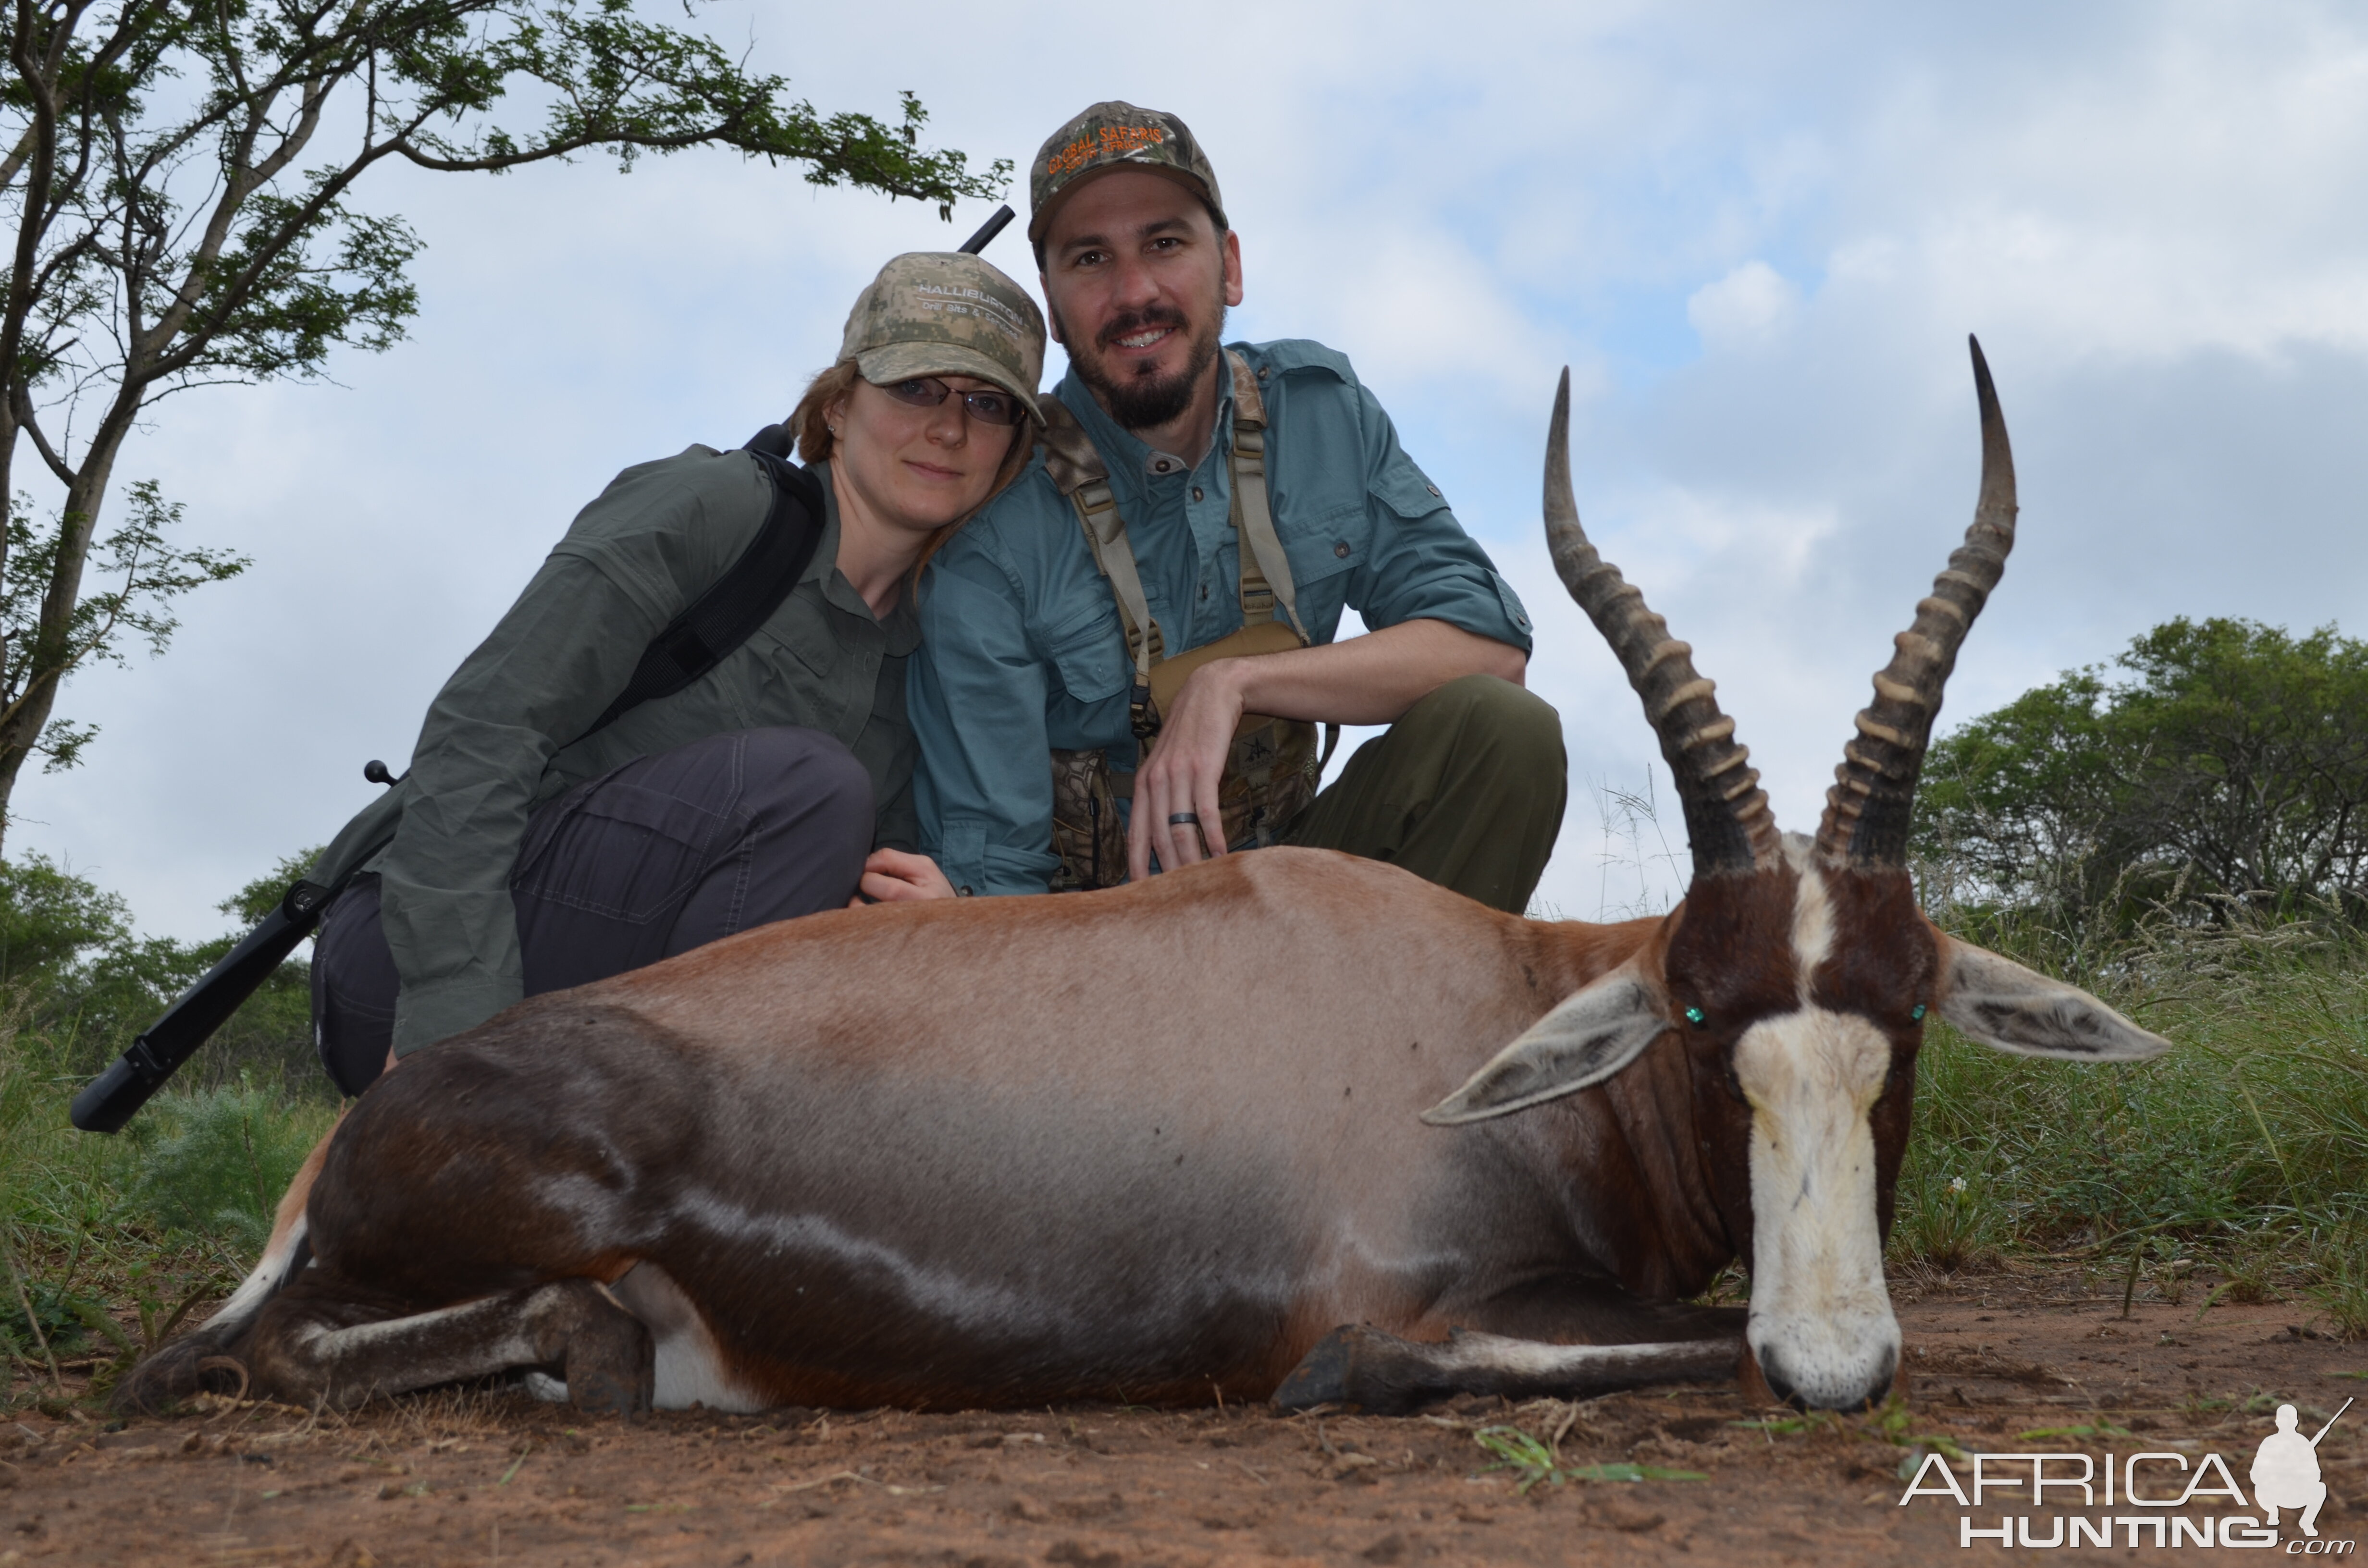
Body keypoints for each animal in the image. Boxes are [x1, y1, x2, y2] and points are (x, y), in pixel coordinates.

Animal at [124, 343, 2169, 1421]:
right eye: (1697, 1002)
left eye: (1904, 1004)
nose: (1833, 1359)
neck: (1482, 1001)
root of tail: (353, 1130)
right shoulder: (1412, 1305)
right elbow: (1436, 1363)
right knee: (244, 1354)